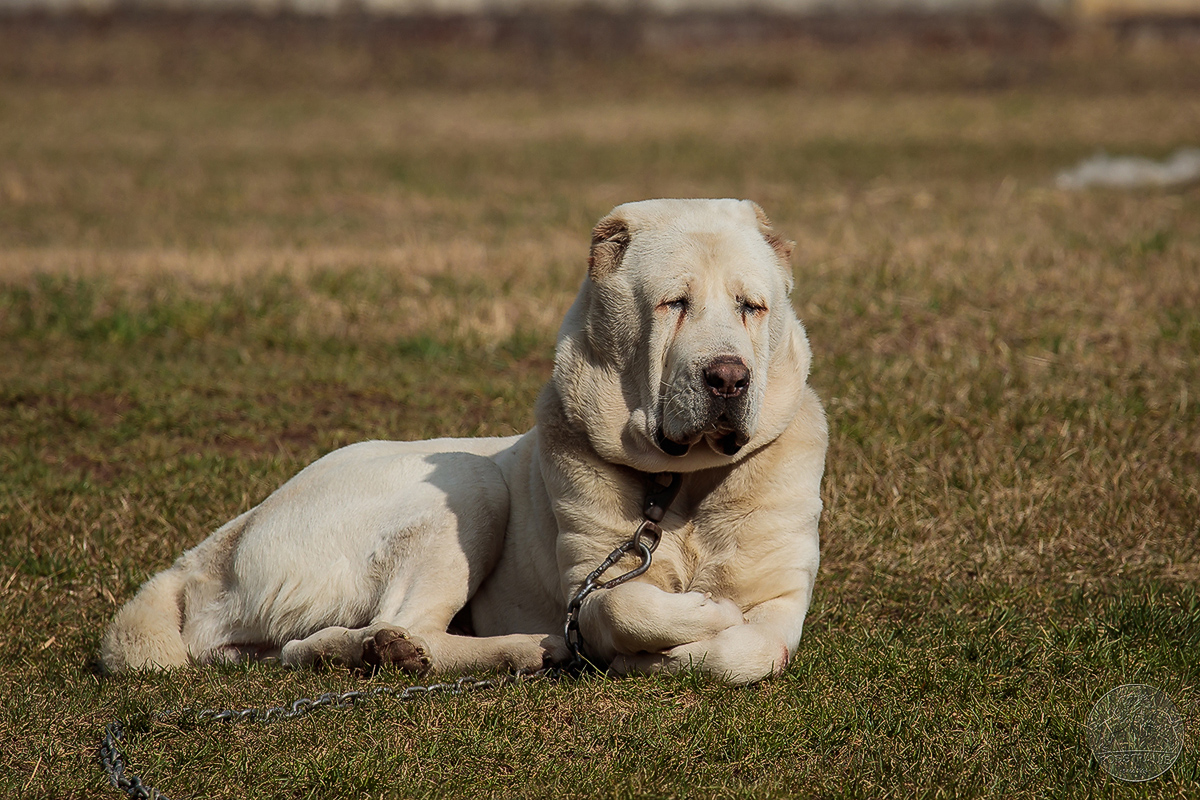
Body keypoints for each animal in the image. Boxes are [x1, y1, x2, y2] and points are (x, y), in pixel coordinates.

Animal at [103, 196, 825, 686]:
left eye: (751, 307)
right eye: (674, 304)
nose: (728, 377)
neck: (685, 484)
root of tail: (213, 549)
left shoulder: (786, 596)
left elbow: (747, 649)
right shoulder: (589, 588)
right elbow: (631, 605)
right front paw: (694, 622)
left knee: (311, 644)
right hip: (468, 487)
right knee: (399, 621)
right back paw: (516, 649)